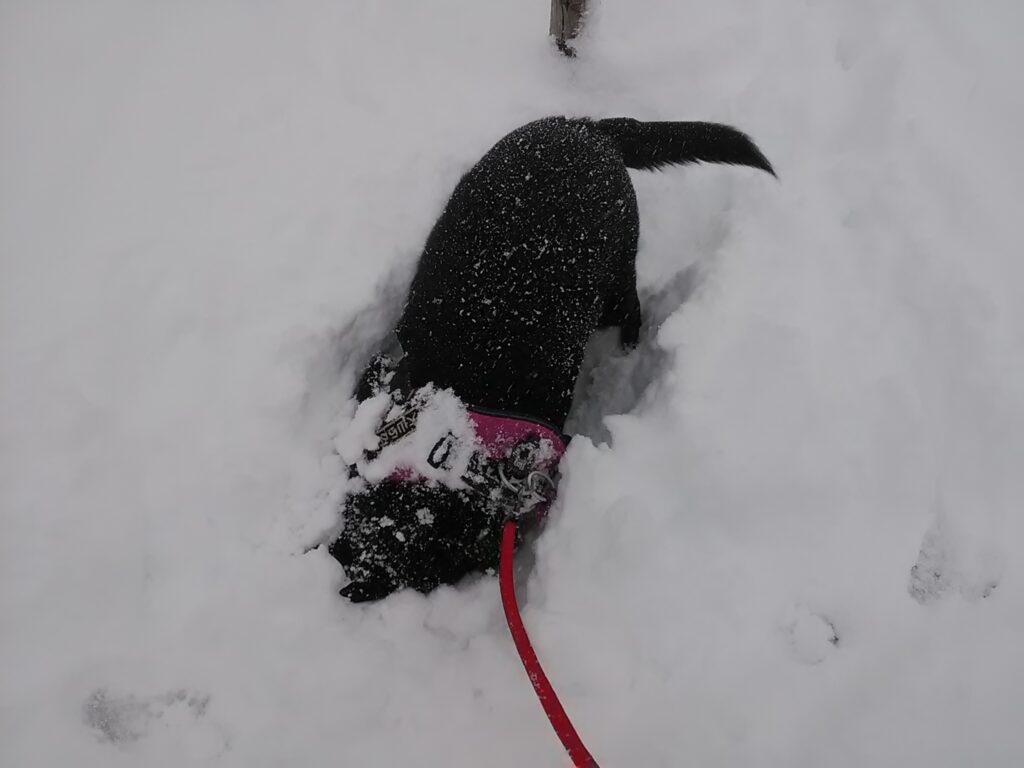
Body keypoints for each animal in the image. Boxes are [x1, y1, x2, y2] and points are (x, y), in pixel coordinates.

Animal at [330, 117, 774, 601]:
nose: (345, 579)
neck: (459, 413)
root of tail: (583, 126)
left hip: (615, 277)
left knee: (632, 307)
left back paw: (629, 347)